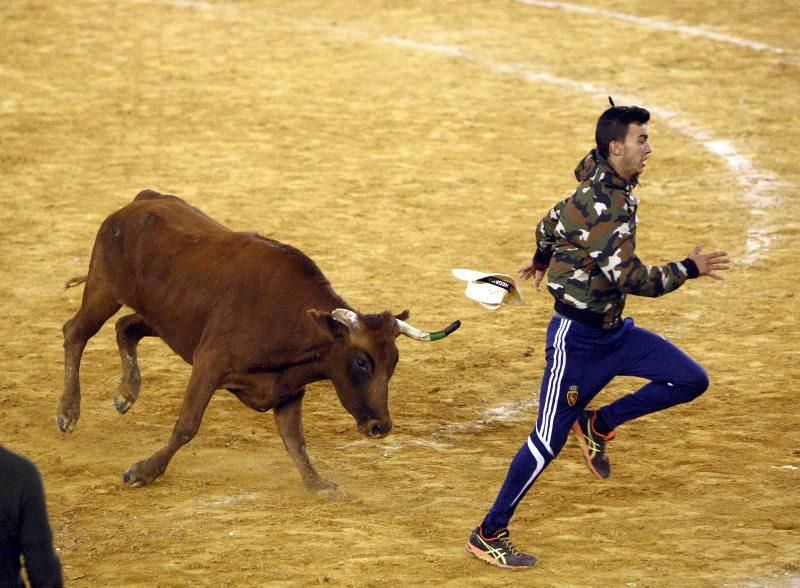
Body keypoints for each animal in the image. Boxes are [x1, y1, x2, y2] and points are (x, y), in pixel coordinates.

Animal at [56, 191, 460, 494]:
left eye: (394, 362)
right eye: (361, 361)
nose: (380, 426)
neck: (288, 320)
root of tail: (142, 201)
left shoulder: (288, 389)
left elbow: (296, 442)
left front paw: (318, 485)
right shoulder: (209, 364)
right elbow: (187, 425)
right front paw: (143, 471)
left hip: (163, 319)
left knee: (126, 327)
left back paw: (127, 392)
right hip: (103, 289)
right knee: (75, 332)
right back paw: (68, 412)